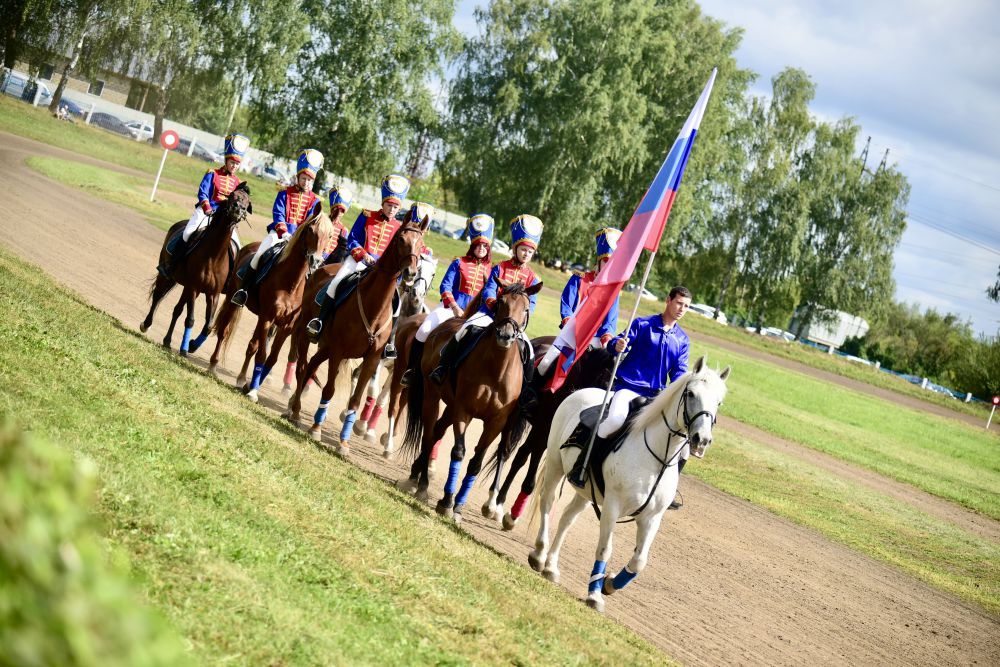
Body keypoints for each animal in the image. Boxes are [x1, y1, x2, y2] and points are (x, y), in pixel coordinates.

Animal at [141, 180, 254, 352]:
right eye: (232, 196)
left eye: (247, 202)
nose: (237, 209)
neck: (213, 256)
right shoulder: (194, 287)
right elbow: (190, 319)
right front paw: (185, 348)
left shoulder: (212, 293)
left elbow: (208, 326)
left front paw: (193, 345)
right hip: (168, 276)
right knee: (158, 296)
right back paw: (146, 324)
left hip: (187, 287)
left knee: (177, 309)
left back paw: (167, 340)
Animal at [205, 209, 334, 400]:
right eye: (311, 230)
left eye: (330, 235)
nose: (316, 261)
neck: (290, 283)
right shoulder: (267, 317)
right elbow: (261, 354)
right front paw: (252, 391)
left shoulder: (287, 326)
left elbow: (271, 358)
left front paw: (252, 385)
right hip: (232, 302)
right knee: (224, 332)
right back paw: (213, 365)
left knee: (252, 345)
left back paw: (242, 378)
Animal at [282, 215, 430, 454]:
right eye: (401, 239)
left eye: (421, 244)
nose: (410, 272)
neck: (374, 306)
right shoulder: (339, 351)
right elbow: (329, 390)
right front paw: (316, 428)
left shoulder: (371, 359)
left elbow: (356, 400)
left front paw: (343, 442)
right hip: (308, 336)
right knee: (303, 367)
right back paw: (294, 409)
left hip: (326, 347)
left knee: (312, 365)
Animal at [394, 280, 544, 520]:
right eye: (500, 302)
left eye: (526, 308)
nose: (506, 336)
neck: (496, 369)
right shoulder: (464, 411)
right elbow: (458, 452)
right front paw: (447, 501)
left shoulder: (496, 421)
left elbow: (476, 463)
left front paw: (459, 506)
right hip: (432, 396)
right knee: (429, 434)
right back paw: (422, 484)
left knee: (441, 432)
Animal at [528, 358, 732, 612]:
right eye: (691, 393)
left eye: (719, 402)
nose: (701, 440)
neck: (656, 458)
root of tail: (580, 392)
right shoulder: (612, 507)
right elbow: (605, 549)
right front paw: (594, 594)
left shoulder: (652, 518)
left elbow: (639, 561)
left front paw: (609, 584)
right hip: (556, 465)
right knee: (547, 503)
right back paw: (539, 554)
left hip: (586, 492)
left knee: (567, 518)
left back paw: (551, 566)